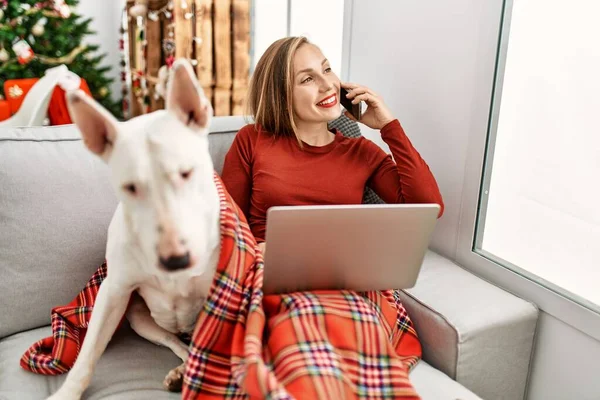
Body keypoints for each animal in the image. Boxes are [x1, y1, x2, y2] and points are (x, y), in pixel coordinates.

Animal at [46, 60, 220, 400]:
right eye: (130, 187)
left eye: (186, 173)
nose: (175, 261)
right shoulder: (113, 292)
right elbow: (88, 353)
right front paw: (67, 392)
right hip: (139, 318)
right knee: (178, 344)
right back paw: (180, 370)